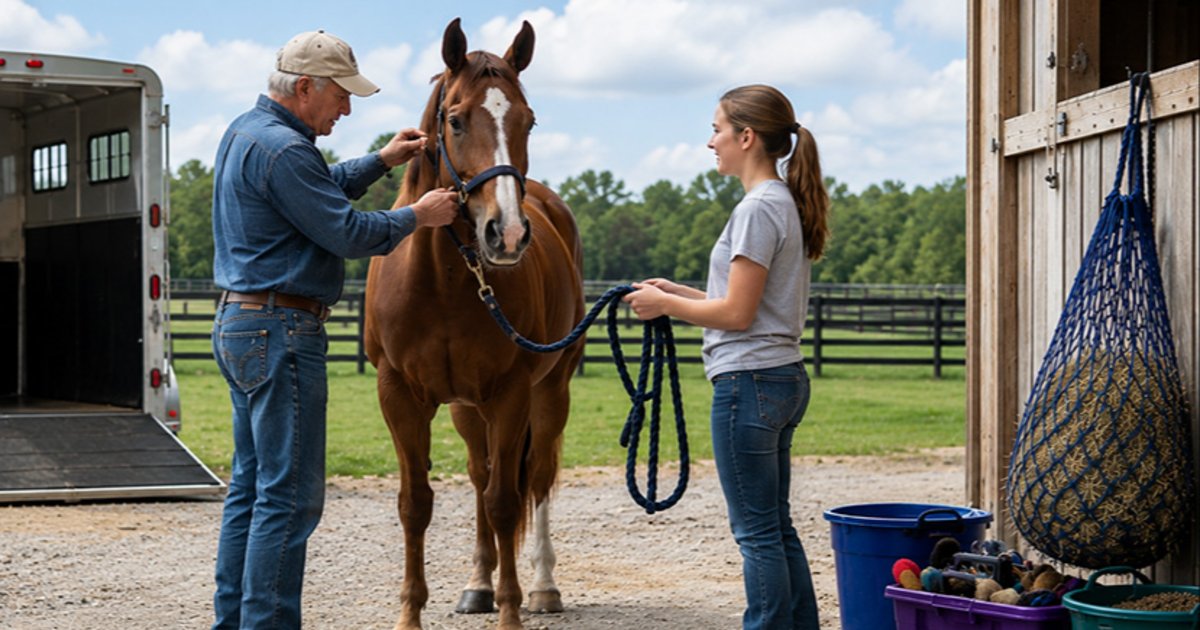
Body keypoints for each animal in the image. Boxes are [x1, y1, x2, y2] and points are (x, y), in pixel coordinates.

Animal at [363, 18, 585, 630]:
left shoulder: (511, 393)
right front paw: (411, 615)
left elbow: (506, 502)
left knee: (533, 479)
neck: (443, 280)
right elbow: (416, 503)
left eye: (528, 120)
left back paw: (541, 587)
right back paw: (478, 584)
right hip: (467, 410)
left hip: (550, 394)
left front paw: (512, 610)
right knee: (483, 472)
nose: (505, 234)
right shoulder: (398, 394)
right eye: (456, 119)